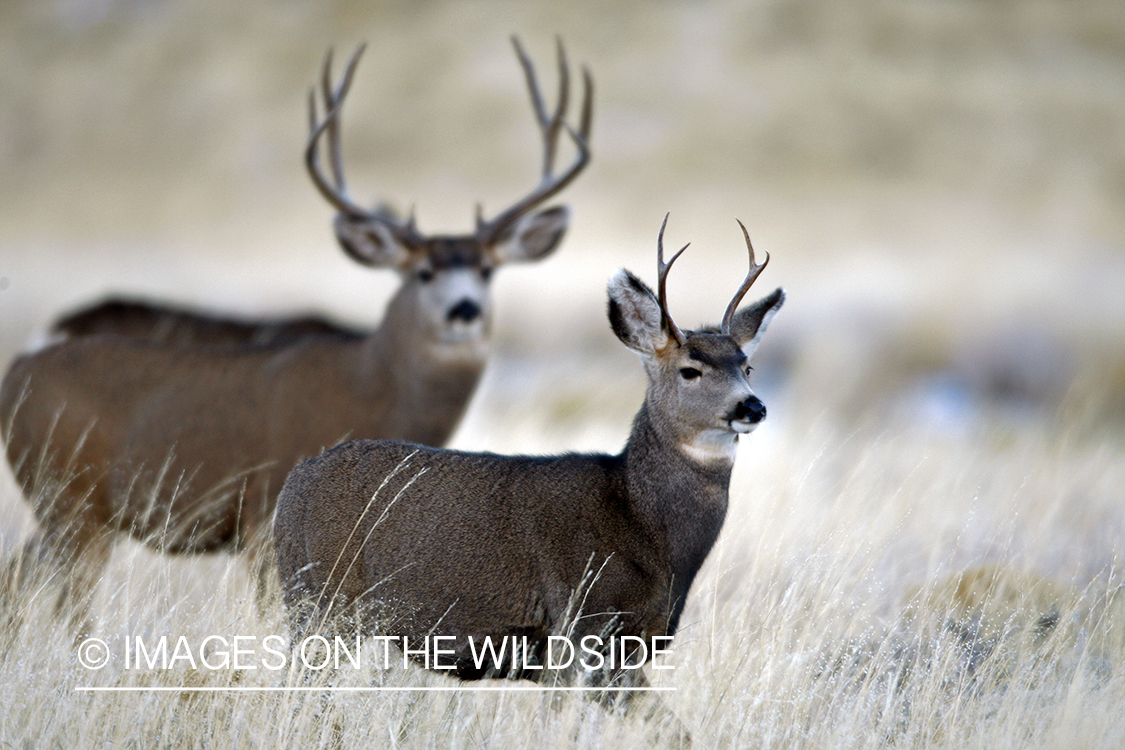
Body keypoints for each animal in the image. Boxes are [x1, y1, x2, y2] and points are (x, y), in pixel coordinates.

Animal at [0, 37, 592, 624]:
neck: (374, 387)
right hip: (69, 497)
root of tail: (17, 372)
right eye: (423, 272)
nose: (464, 310)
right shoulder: (264, 511)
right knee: (67, 604)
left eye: (488, 270)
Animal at [273, 214, 784, 725]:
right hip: (321, 599)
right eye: (690, 370)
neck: (641, 525)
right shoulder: (576, 627)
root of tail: (295, 483)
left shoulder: (624, 653)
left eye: (747, 367)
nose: (752, 406)